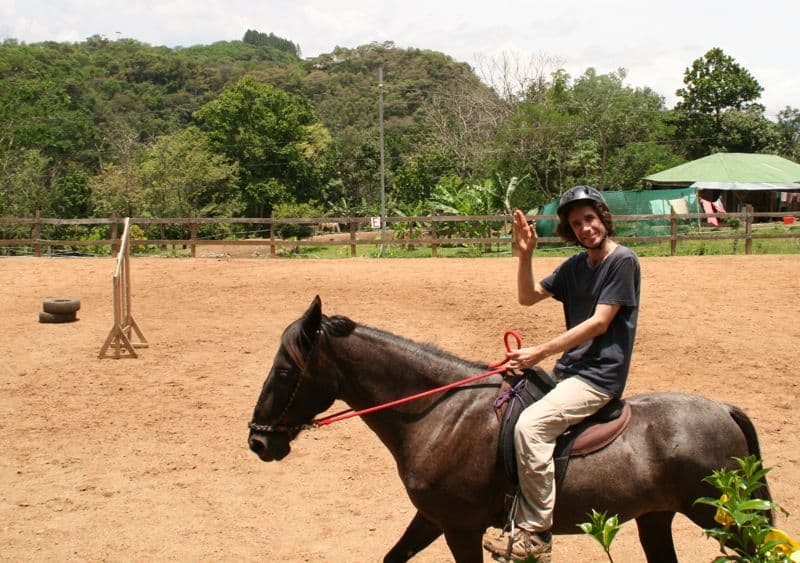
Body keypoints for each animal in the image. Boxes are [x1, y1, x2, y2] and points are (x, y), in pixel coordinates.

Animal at [248, 298, 768, 560]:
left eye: (284, 371)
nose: (257, 440)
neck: (440, 415)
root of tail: (724, 410)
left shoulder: (460, 527)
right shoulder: (433, 518)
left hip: (724, 520)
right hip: (657, 519)